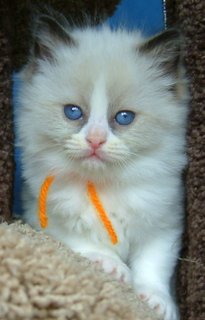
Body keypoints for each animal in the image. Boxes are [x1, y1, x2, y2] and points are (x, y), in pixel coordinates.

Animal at [16, 11, 189, 320]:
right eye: (73, 112)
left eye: (123, 117)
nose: (95, 140)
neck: (104, 183)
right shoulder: (42, 215)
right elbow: (81, 242)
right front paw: (112, 267)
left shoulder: (164, 221)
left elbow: (153, 265)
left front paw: (155, 302)